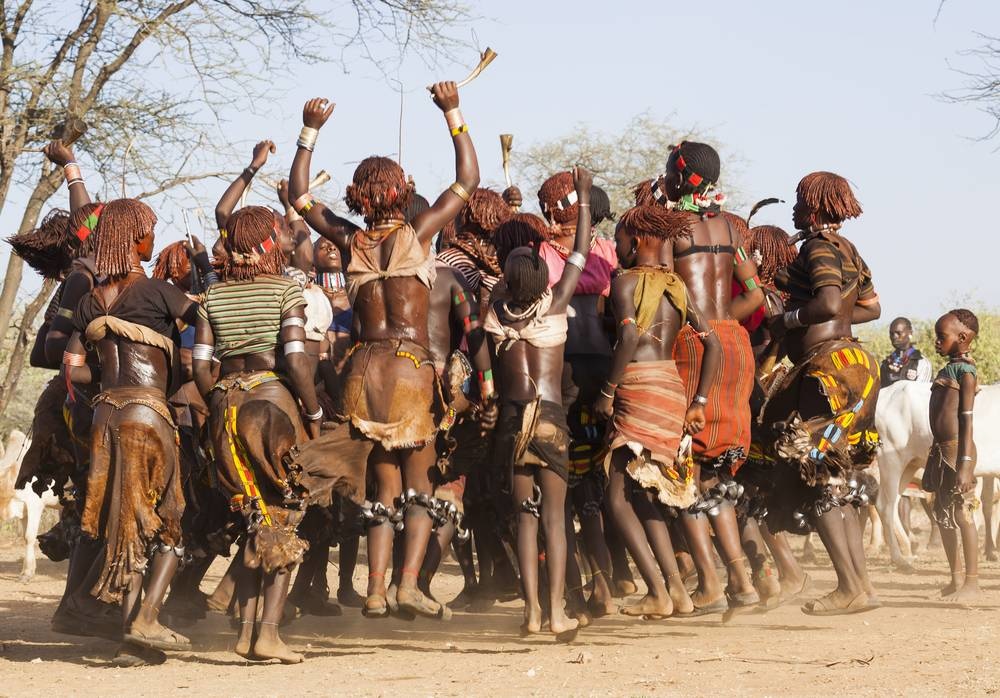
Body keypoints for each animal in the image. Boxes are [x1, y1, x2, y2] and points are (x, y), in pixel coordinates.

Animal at [0, 430, 59, 580]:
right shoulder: (23, 511)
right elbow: (25, 538)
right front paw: (28, 570)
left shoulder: (35, 505)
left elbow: (30, 536)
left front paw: (27, 573)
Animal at [876, 380, 1000, 564]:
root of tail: (886, 393)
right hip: (891, 461)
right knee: (886, 508)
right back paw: (900, 558)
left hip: (909, 465)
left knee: (887, 505)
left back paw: (907, 550)